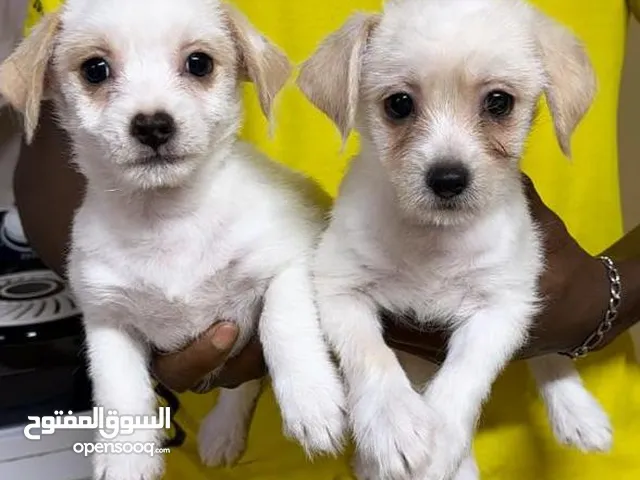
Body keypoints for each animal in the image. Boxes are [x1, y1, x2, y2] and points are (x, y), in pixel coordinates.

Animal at [0, 0, 344, 480]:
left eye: (199, 63)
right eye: (95, 69)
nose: (152, 125)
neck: (166, 221)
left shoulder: (289, 261)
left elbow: (284, 324)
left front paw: (311, 402)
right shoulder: (108, 320)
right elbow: (120, 393)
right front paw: (125, 457)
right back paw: (223, 432)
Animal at [298, 0, 608, 480]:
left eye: (499, 102)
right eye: (399, 104)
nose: (447, 179)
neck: (433, 240)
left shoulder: (502, 307)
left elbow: (464, 375)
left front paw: (441, 441)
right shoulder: (339, 286)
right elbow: (371, 355)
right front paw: (391, 423)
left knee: (547, 354)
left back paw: (577, 411)